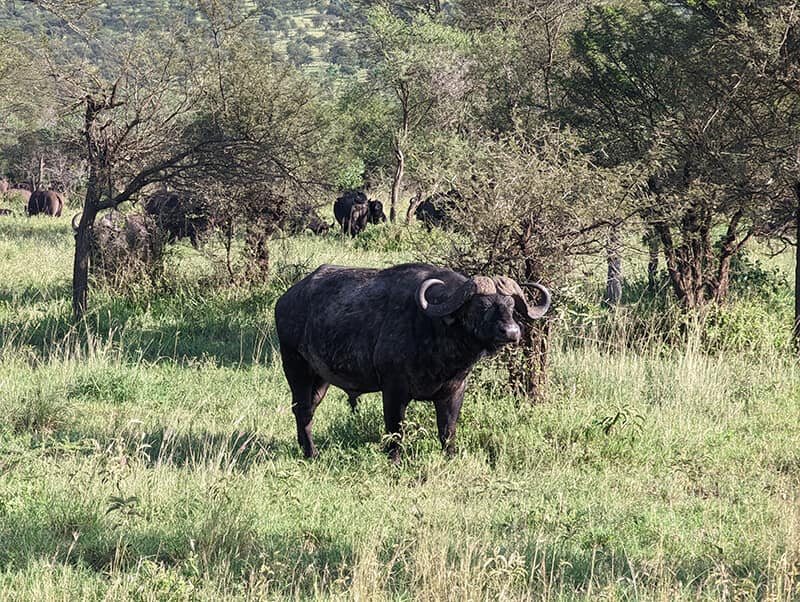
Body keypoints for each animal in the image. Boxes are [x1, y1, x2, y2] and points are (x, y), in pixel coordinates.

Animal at [274, 262, 551, 461]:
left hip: (321, 379)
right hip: (296, 367)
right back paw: (311, 453)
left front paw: (450, 457)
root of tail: (286, 299)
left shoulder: (454, 391)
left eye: (511, 306)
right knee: (302, 410)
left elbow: (447, 429)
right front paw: (394, 460)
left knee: (308, 409)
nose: (511, 332)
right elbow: (395, 429)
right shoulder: (393, 390)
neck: (435, 329)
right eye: (481, 306)